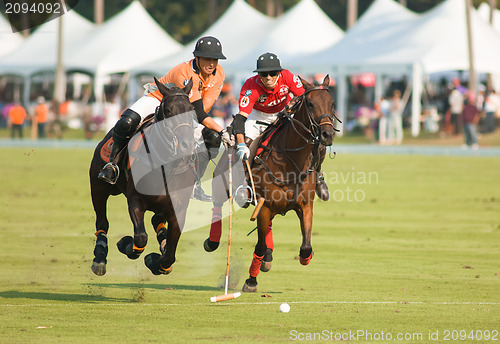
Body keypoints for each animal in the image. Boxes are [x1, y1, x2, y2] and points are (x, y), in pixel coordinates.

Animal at [89, 78, 198, 276]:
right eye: (168, 111)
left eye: (191, 110)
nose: (186, 145)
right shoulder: (135, 199)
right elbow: (140, 238)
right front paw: (125, 243)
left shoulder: (178, 209)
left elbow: (169, 255)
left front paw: (156, 261)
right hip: (98, 187)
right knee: (102, 222)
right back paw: (99, 257)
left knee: (157, 221)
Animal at [242, 74, 336, 290]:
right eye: (310, 103)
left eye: (332, 103)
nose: (327, 135)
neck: (290, 161)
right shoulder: (265, 206)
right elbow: (260, 246)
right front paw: (251, 280)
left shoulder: (305, 206)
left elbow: (306, 246)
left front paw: (306, 257)